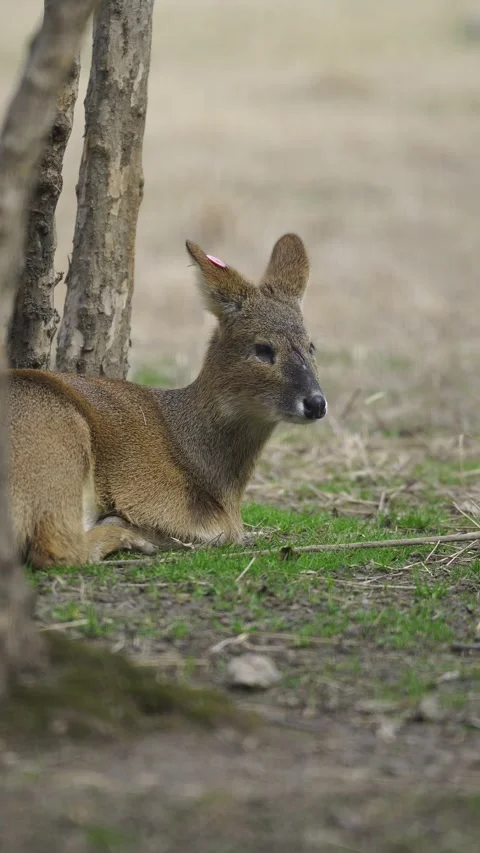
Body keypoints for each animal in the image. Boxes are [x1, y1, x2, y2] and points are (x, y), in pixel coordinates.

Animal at [8, 233, 327, 569]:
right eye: (263, 349)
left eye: (311, 346)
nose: (316, 403)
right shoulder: (158, 497)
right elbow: (217, 531)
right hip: (59, 438)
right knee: (57, 548)